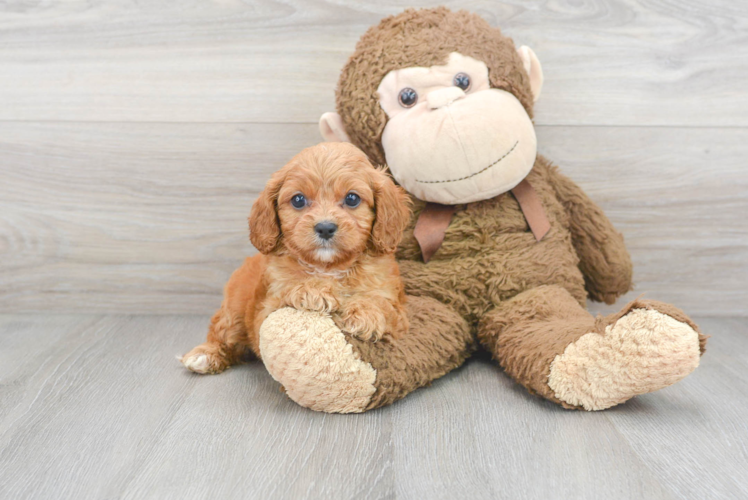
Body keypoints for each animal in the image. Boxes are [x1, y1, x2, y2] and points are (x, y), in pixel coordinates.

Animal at [179, 143, 412, 374]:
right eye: (298, 200)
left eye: (352, 199)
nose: (325, 227)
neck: (329, 267)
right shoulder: (266, 309)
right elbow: (289, 289)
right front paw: (313, 290)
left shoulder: (396, 306)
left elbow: (383, 304)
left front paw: (366, 314)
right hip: (234, 309)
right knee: (222, 331)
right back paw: (205, 355)